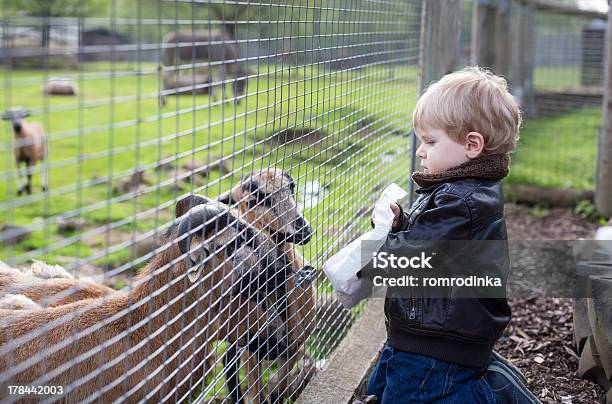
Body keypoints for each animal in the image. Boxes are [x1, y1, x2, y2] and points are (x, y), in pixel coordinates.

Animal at [215, 169, 318, 402]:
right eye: (254, 200)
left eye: (292, 187)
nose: (302, 229)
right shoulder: (250, 354)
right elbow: (257, 396)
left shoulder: (293, 349)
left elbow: (279, 391)